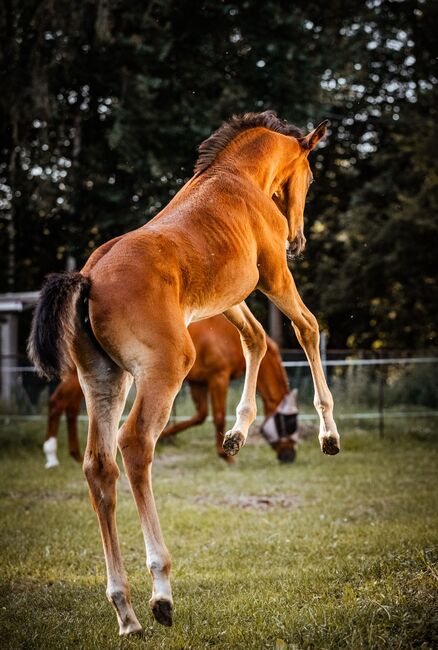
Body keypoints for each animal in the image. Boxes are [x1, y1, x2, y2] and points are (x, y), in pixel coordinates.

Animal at [43, 314, 298, 466]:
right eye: (289, 422)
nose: (290, 456)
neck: (230, 336)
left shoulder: (198, 383)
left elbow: (199, 416)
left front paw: (165, 435)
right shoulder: (218, 379)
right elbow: (216, 416)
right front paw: (225, 456)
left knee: (71, 409)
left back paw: (76, 455)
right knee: (57, 403)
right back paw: (52, 456)